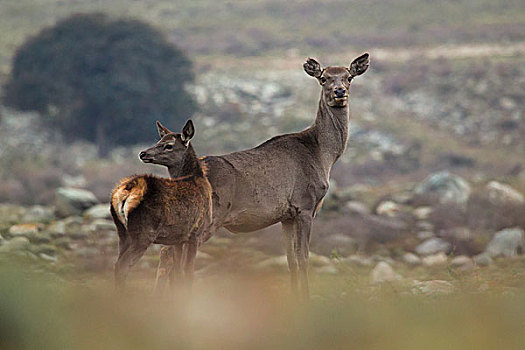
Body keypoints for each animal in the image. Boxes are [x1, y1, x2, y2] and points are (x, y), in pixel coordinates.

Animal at [110, 119, 211, 290]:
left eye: (168, 145)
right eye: (159, 141)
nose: (143, 153)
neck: (197, 179)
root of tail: (127, 190)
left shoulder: (178, 238)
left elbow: (178, 273)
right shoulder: (195, 232)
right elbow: (188, 272)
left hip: (122, 232)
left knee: (117, 263)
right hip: (143, 233)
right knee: (121, 266)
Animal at [147, 53, 368, 296]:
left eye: (349, 77)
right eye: (323, 78)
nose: (339, 91)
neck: (323, 155)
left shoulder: (287, 215)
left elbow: (291, 259)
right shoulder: (305, 204)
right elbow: (303, 258)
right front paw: (306, 297)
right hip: (210, 217)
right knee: (171, 254)